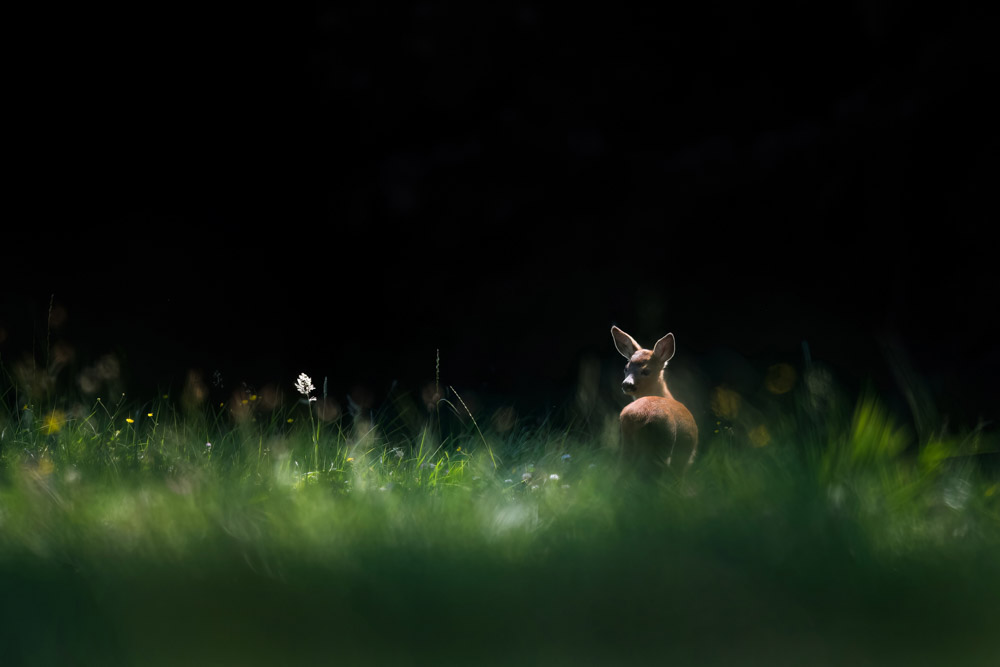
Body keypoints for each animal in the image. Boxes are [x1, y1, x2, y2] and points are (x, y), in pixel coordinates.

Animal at [611, 326, 698, 472]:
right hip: (664, 441)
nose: (627, 384)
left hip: (626, 443)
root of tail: (637, 417)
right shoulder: (686, 457)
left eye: (646, 371)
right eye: (626, 368)